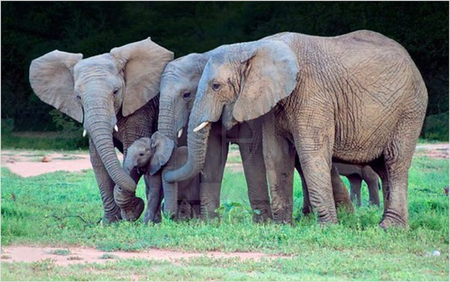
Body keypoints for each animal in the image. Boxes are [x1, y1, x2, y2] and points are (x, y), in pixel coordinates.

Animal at [28, 38, 172, 223]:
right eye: (78, 97)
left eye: (116, 92)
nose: (137, 201)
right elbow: (97, 160)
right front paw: (111, 223)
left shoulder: (142, 107)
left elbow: (130, 150)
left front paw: (132, 213)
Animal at [163, 30, 428, 229]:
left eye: (216, 86)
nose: (170, 215)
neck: (253, 47)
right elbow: (274, 154)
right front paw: (281, 226)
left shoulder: (312, 94)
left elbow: (305, 153)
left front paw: (325, 228)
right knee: (382, 167)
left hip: (409, 110)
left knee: (395, 161)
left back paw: (388, 227)